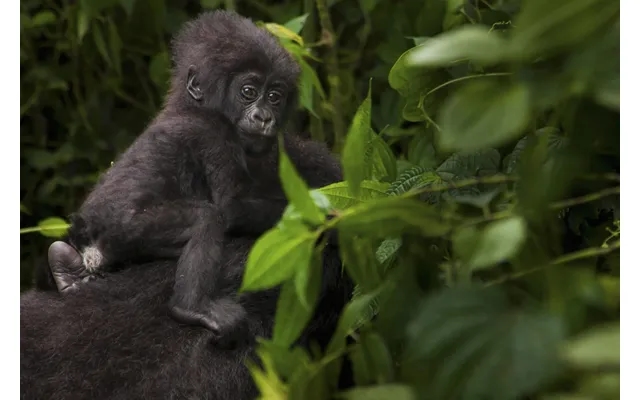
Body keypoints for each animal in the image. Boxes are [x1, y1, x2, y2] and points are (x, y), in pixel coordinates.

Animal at [46, 10, 340, 340]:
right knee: (206, 219)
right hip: (125, 227)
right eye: (248, 92)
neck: (189, 104)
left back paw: (68, 273)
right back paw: (191, 308)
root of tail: (89, 240)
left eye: (275, 97)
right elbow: (230, 205)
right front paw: (324, 213)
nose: (264, 117)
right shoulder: (215, 134)